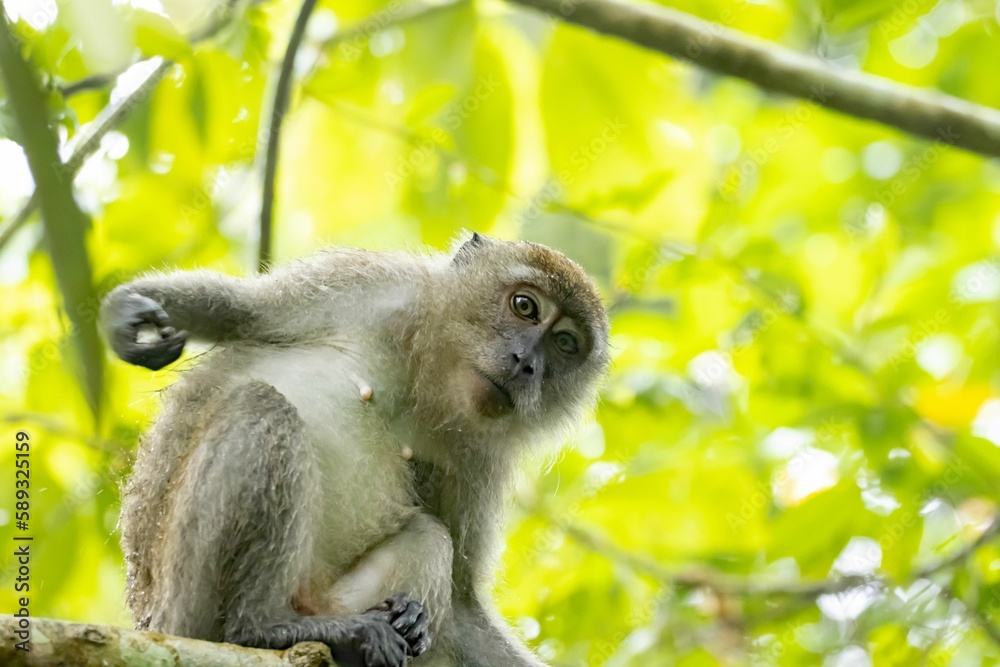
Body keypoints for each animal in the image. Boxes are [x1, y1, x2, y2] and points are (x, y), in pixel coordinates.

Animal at [102, 233, 609, 666]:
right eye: (525, 306)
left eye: (565, 344)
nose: (526, 363)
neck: (428, 375)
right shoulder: (374, 284)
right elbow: (241, 311)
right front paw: (126, 313)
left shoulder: (482, 457)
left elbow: (463, 601)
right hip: (184, 603)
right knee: (262, 406)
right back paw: (258, 628)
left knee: (429, 534)